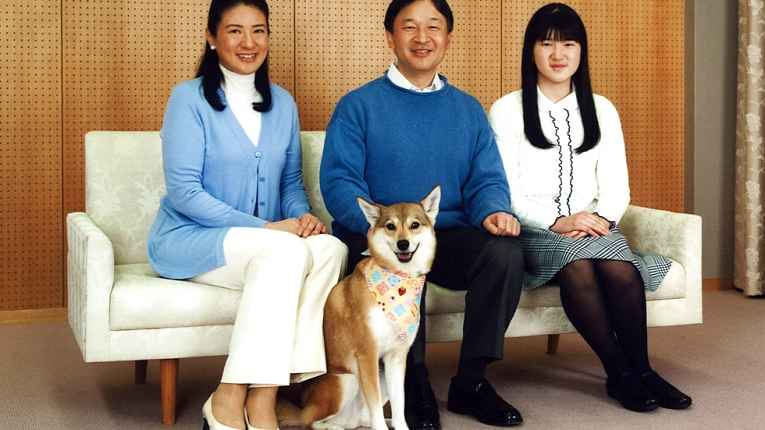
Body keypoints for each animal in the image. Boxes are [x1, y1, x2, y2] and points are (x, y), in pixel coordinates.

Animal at [280, 187, 438, 430]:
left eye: (415, 225)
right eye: (390, 226)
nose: (403, 244)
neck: (397, 282)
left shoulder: (396, 358)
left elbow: (399, 403)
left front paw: (400, 425)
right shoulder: (367, 355)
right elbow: (376, 410)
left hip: (378, 377)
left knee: (363, 418)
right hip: (347, 380)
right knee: (311, 421)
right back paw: (333, 426)